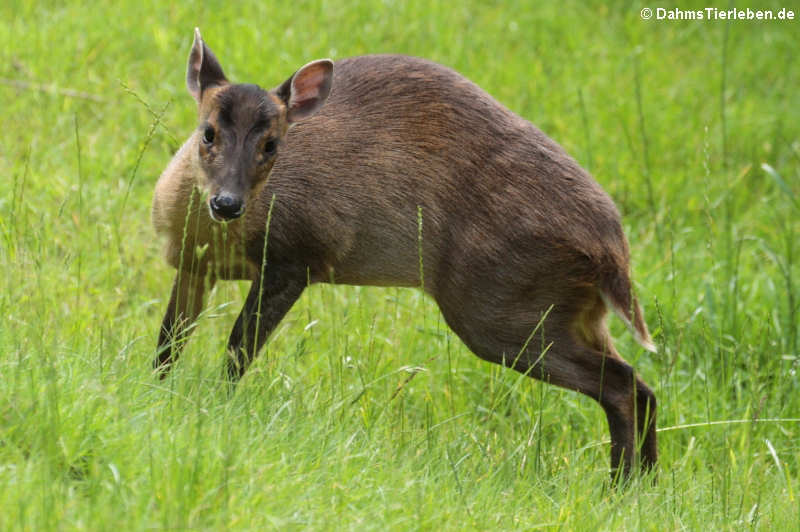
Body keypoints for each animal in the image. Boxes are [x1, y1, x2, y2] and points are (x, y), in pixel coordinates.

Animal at [153, 28, 660, 478]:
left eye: (271, 144)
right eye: (208, 133)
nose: (227, 203)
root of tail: (613, 251)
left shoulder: (298, 256)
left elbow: (237, 351)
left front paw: (217, 411)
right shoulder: (194, 265)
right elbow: (168, 343)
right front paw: (155, 394)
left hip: (503, 307)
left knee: (621, 385)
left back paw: (623, 485)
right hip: (574, 313)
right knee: (639, 385)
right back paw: (641, 485)